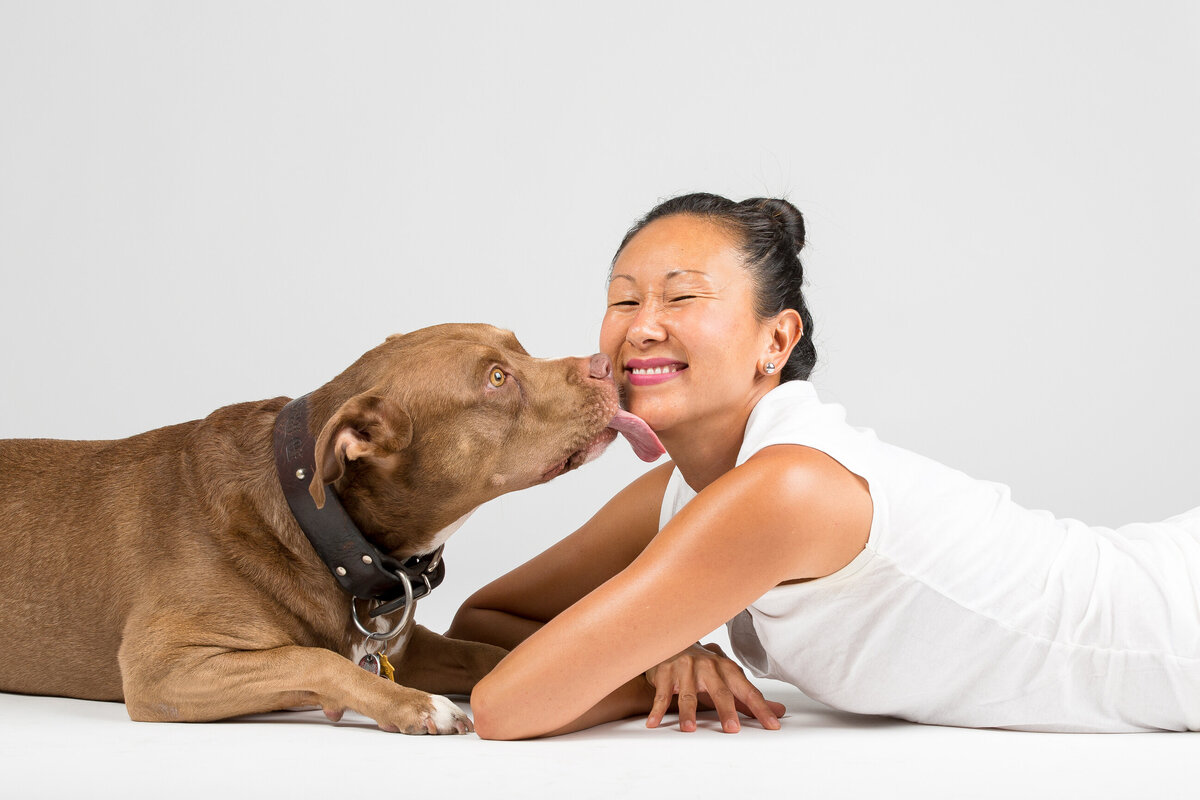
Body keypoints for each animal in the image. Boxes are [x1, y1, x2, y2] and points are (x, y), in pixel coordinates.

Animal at [0, 321, 662, 734]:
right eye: (496, 379)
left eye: (518, 344)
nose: (605, 363)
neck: (320, 527)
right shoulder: (163, 669)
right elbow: (316, 661)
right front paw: (416, 705)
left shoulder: (409, 646)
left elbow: (492, 654)